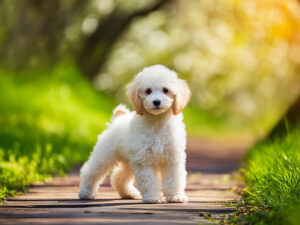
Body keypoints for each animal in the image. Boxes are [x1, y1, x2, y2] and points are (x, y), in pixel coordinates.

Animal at [77, 64, 190, 203]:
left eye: (165, 90)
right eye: (148, 91)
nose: (156, 102)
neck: (157, 122)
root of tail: (116, 119)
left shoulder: (172, 159)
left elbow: (174, 180)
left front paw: (176, 196)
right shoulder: (143, 160)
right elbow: (149, 181)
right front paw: (152, 197)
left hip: (128, 161)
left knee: (118, 176)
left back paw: (128, 193)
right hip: (104, 156)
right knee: (90, 171)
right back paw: (86, 192)